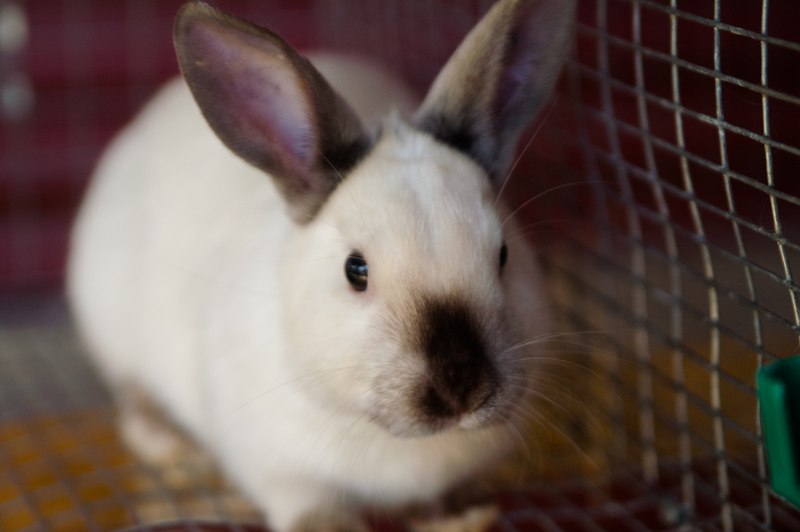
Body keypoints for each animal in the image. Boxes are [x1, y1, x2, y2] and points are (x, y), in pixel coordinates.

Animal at [67, 0, 576, 531]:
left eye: (503, 254)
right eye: (356, 271)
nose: (462, 389)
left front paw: (461, 515)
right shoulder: (281, 473)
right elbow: (311, 508)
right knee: (133, 398)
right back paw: (166, 444)